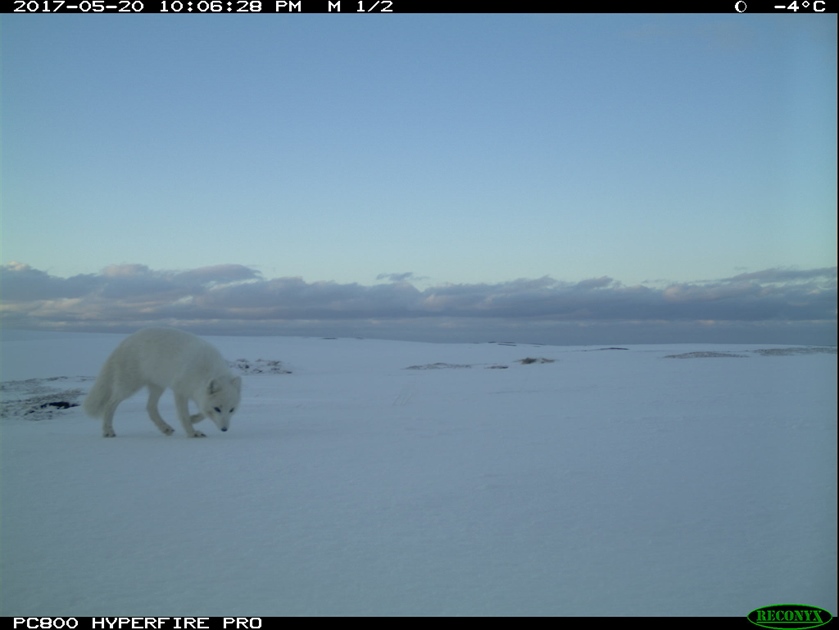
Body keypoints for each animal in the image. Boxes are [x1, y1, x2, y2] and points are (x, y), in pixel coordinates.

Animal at [83, 330, 241, 440]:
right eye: (217, 409)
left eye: (232, 410)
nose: (224, 429)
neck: (205, 370)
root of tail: (125, 341)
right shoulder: (180, 390)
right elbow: (184, 414)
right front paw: (192, 432)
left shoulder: (196, 393)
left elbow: (202, 412)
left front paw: (193, 419)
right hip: (129, 387)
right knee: (110, 404)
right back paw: (108, 431)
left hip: (157, 386)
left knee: (150, 407)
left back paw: (165, 428)